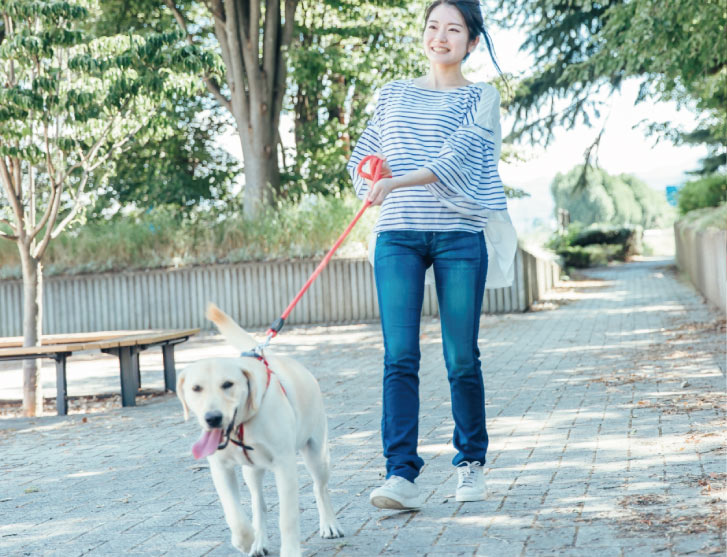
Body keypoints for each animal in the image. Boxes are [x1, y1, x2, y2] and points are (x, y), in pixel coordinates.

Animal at [178, 304, 344, 556]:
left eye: (228, 384)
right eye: (196, 388)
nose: (213, 418)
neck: (242, 425)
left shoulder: (285, 465)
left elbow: (287, 517)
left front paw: (290, 551)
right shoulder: (220, 468)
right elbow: (234, 514)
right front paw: (246, 540)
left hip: (317, 454)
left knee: (320, 487)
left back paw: (330, 524)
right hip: (252, 472)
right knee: (258, 502)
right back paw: (259, 541)